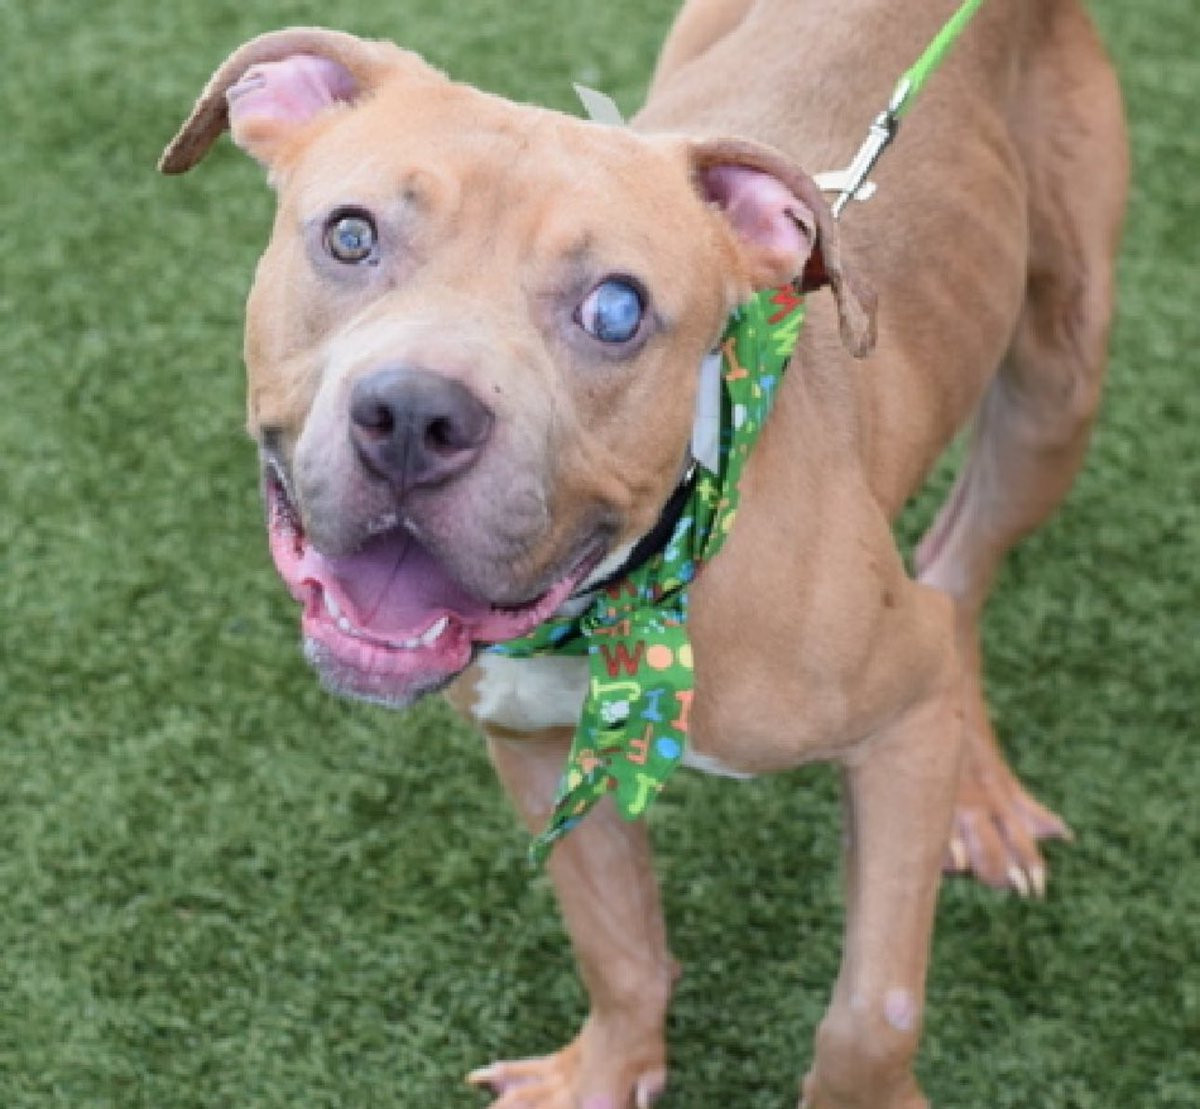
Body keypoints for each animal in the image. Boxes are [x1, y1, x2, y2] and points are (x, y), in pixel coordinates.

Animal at [160, 0, 1127, 1103]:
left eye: (615, 310)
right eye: (351, 234)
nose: (412, 416)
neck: (633, 599)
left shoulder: (904, 721)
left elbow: (871, 1011)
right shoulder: (535, 746)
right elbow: (616, 943)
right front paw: (606, 1069)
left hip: (1058, 379)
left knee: (960, 564)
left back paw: (982, 795)